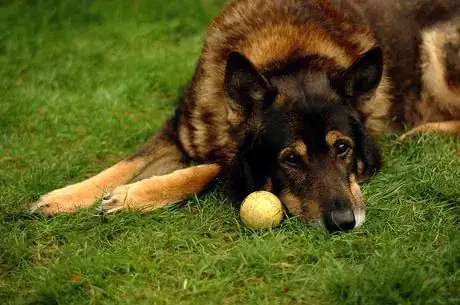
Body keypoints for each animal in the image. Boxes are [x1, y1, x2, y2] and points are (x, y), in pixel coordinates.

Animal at [30, 1, 460, 232]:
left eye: (343, 148)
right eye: (290, 159)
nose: (343, 223)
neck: (289, 55)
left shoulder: (233, 164)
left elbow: (210, 169)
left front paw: (130, 197)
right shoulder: (177, 132)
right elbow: (123, 165)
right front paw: (62, 198)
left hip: (437, 50)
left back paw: (425, 132)